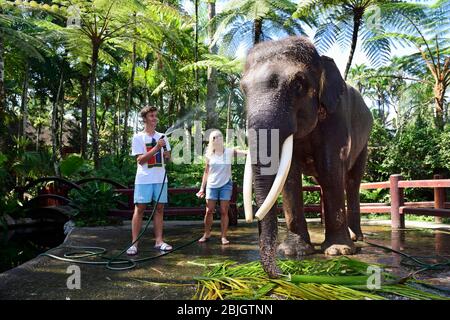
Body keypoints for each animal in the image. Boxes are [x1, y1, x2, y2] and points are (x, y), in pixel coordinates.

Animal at [241, 36, 374, 278]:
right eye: (243, 89)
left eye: (298, 85)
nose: (283, 274)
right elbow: (290, 178)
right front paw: (293, 252)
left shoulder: (336, 116)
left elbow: (331, 167)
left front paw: (338, 251)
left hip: (364, 145)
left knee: (351, 182)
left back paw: (355, 238)